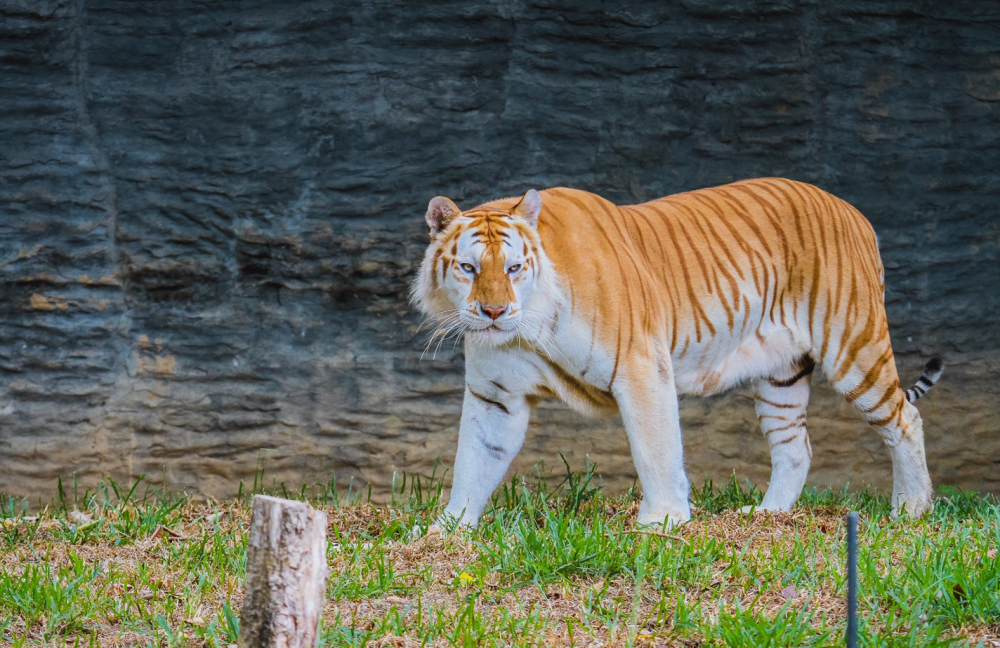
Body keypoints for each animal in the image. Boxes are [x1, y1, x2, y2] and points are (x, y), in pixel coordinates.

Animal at [410, 175, 940, 528]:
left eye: (514, 267)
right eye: (468, 268)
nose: (494, 312)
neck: (529, 328)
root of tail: (853, 211)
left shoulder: (641, 366)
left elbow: (655, 448)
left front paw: (662, 522)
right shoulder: (495, 396)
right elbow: (474, 461)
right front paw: (448, 531)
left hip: (854, 346)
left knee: (905, 420)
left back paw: (910, 510)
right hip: (781, 376)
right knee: (796, 447)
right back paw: (767, 516)